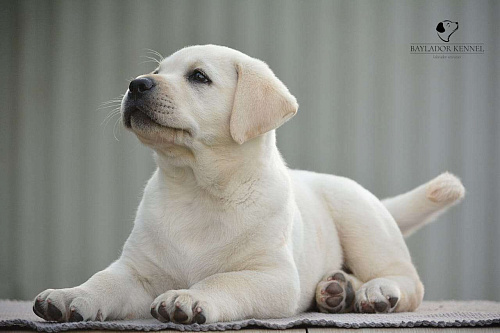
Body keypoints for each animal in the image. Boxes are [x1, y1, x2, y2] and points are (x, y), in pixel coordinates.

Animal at [32, 44, 464, 322]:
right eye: (156, 72)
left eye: (199, 76)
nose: (136, 84)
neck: (195, 189)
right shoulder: (136, 270)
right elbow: (104, 280)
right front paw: (70, 295)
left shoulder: (271, 276)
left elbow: (224, 280)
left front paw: (188, 297)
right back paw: (337, 291)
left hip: (362, 222)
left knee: (408, 280)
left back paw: (374, 292)